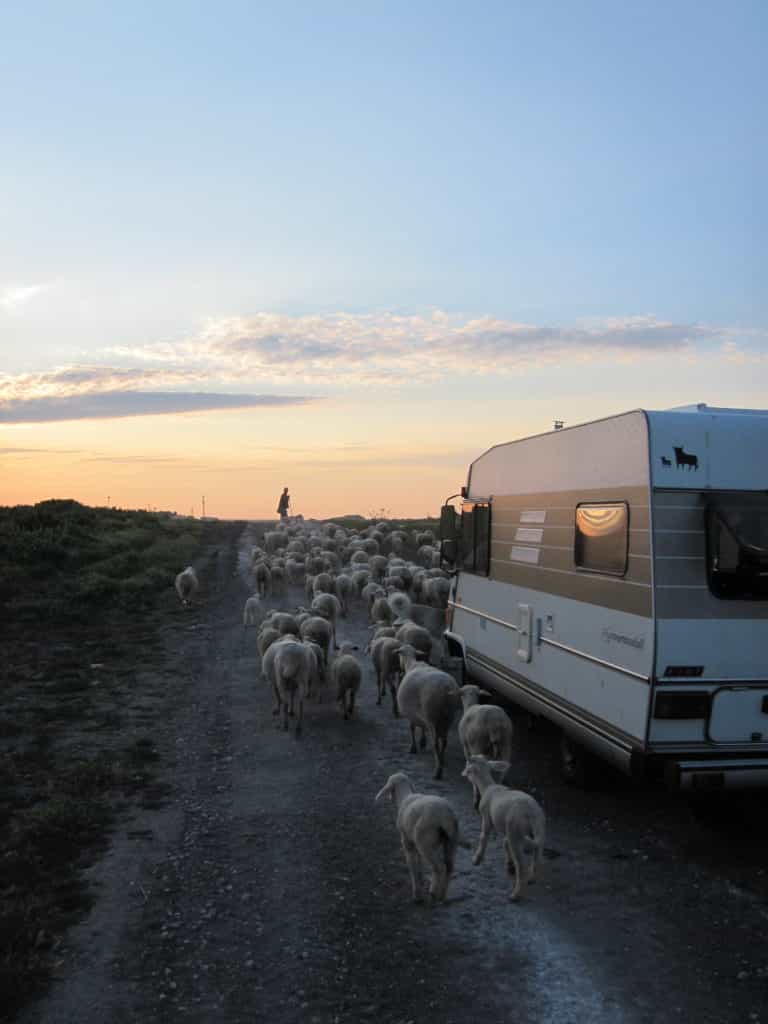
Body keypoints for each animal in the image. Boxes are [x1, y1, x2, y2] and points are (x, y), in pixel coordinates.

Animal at [374, 770, 468, 909]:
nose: (389, 798)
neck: (404, 797)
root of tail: (446, 814)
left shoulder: (407, 841)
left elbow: (412, 865)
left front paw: (417, 895)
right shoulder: (414, 843)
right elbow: (419, 864)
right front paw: (421, 881)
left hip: (425, 841)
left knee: (439, 867)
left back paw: (433, 893)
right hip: (451, 841)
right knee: (449, 866)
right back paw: (442, 896)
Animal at [397, 643, 462, 778]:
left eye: (400, 654)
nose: (399, 667)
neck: (411, 664)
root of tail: (446, 688)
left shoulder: (413, 714)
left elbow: (412, 728)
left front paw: (413, 748)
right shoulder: (420, 714)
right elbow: (422, 727)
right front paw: (422, 741)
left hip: (432, 715)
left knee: (436, 743)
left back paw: (438, 771)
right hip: (449, 716)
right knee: (444, 741)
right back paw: (442, 760)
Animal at [462, 757, 548, 901]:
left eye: (468, 767)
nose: (464, 774)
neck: (487, 786)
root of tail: (530, 812)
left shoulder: (486, 818)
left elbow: (483, 837)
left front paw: (476, 859)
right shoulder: (506, 830)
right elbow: (504, 843)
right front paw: (509, 864)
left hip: (516, 831)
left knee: (521, 866)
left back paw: (515, 894)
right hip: (538, 829)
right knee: (537, 854)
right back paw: (531, 878)